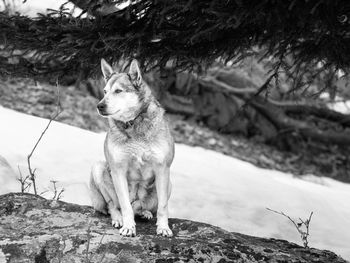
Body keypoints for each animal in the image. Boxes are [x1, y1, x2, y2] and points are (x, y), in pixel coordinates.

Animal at [89, 58, 174, 238]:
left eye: (118, 91)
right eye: (105, 91)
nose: (99, 106)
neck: (133, 123)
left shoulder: (162, 168)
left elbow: (163, 207)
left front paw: (163, 228)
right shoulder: (118, 169)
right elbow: (124, 205)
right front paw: (128, 227)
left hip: (169, 183)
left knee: (143, 206)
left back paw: (144, 213)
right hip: (98, 168)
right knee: (113, 206)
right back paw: (118, 218)